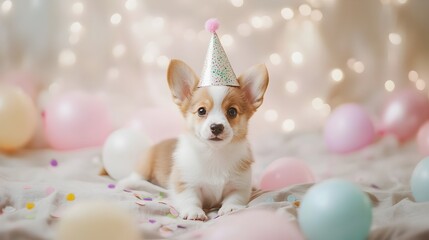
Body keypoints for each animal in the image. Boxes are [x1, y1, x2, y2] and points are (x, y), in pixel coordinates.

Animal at [118, 59, 268, 220]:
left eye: (232, 112)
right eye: (201, 111)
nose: (216, 127)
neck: (214, 153)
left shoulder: (239, 185)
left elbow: (234, 198)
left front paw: (231, 208)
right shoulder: (185, 184)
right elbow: (190, 199)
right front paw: (194, 212)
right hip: (145, 164)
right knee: (136, 177)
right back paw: (129, 182)